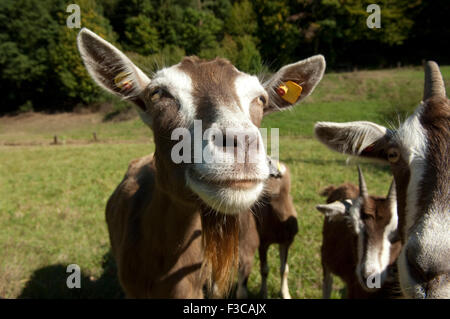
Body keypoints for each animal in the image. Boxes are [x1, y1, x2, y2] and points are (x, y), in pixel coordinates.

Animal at [237, 162, 298, 300]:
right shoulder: (263, 243)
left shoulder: (286, 242)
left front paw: (285, 294)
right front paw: (263, 293)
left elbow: (284, 269)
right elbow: (264, 269)